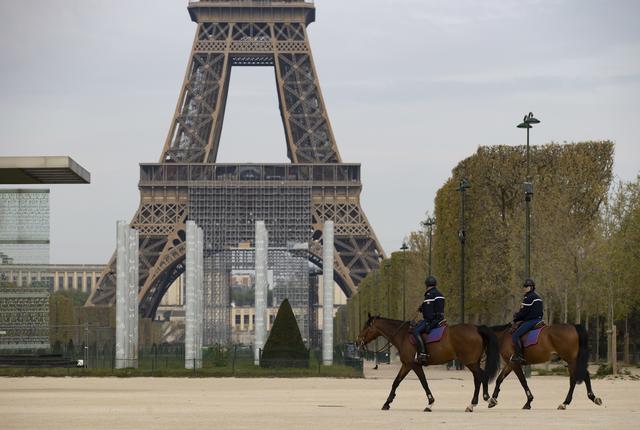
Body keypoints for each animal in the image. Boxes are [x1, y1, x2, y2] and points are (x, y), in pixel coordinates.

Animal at [356, 314, 500, 412]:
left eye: (365, 327)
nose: (358, 342)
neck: (403, 335)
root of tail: (476, 328)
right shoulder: (407, 365)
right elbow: (396, 382)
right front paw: (387, 403)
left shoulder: (414, 365)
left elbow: (424, 382)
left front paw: (430, 403)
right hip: (473, 362)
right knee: (478, 379)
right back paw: (476, 403)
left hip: (470, 362)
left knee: (481, 377)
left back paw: (485, 400)